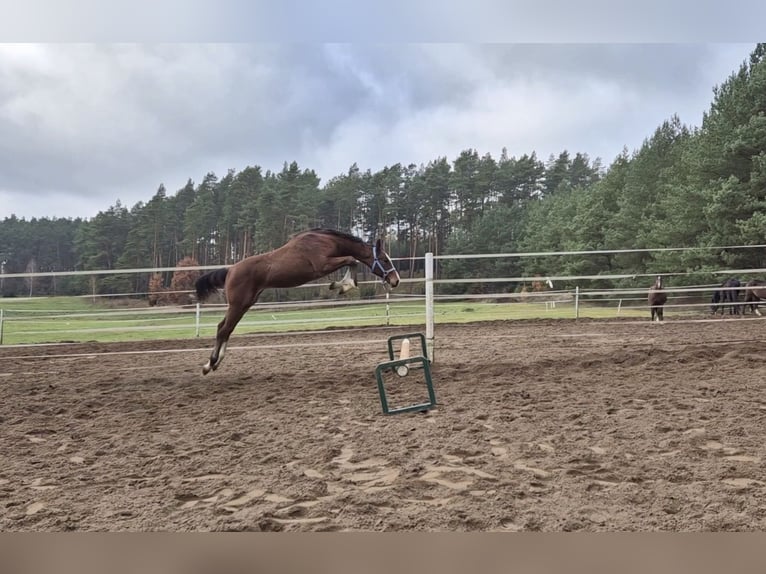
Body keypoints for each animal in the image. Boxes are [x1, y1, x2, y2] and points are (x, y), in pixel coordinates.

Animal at [194, 230, 402, 378]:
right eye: (384, 260)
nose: (395, 280)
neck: (326, 241)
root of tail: (230, 270)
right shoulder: (322, 265)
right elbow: (352, 260)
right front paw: (343, 286)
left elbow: (352, 262)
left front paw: (341, 286)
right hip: (238, 305)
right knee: (223, 330)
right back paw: (209, 364)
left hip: (244, 305)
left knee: (225, 328)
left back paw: (214, 364)